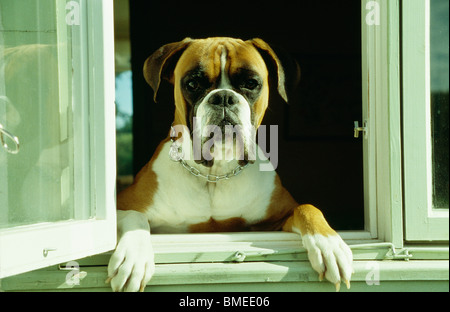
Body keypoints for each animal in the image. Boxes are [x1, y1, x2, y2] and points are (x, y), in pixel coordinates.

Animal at [107, 37, 354, 292]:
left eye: (251, 83)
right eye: (193, 83)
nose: (224, 97)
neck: (215, 173)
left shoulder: (278, 218)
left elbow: (306, 208)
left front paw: (330, 245)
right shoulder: (121, 206)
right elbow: (134, 216)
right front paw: (134, 258)